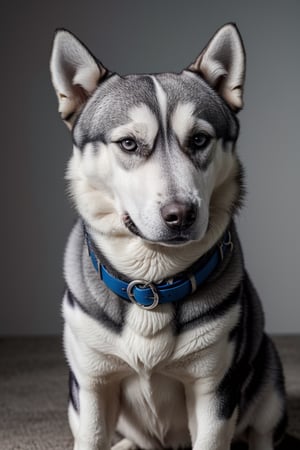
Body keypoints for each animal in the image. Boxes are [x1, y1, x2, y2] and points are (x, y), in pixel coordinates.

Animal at [50, 23, 288, 450]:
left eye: (199, 139)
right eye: (129, 143)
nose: (181, 215)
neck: (153, 284)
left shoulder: (214, 391)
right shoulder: (92, 386)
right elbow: (92, 433)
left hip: (270, 380)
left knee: (261, 429)